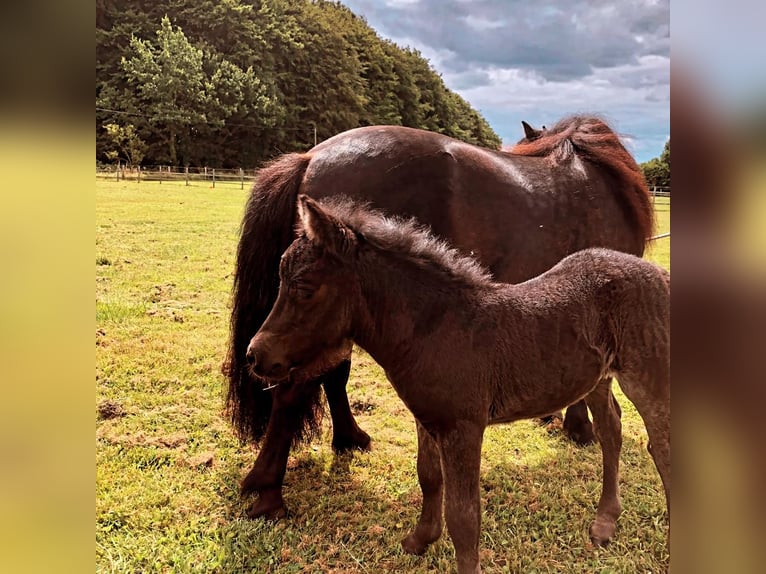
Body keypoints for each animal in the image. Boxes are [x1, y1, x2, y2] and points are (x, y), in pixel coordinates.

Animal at [224, 115, 656, 520]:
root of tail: (312, 156)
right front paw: (580, 428)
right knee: (293, 389)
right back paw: (269, 491)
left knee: (330, 373)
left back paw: (349, 438)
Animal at [250, 198, 672, 574]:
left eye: (304, 288)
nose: (256, 356)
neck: (435, 329)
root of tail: (658, 274)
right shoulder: (427, 419)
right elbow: (428, 476)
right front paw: (421, 538)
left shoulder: (464, 428)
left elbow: (464, 515)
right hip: (597, 378)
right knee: (611, 431)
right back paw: (605, 523)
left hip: (646, 373)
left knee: (662, 447)